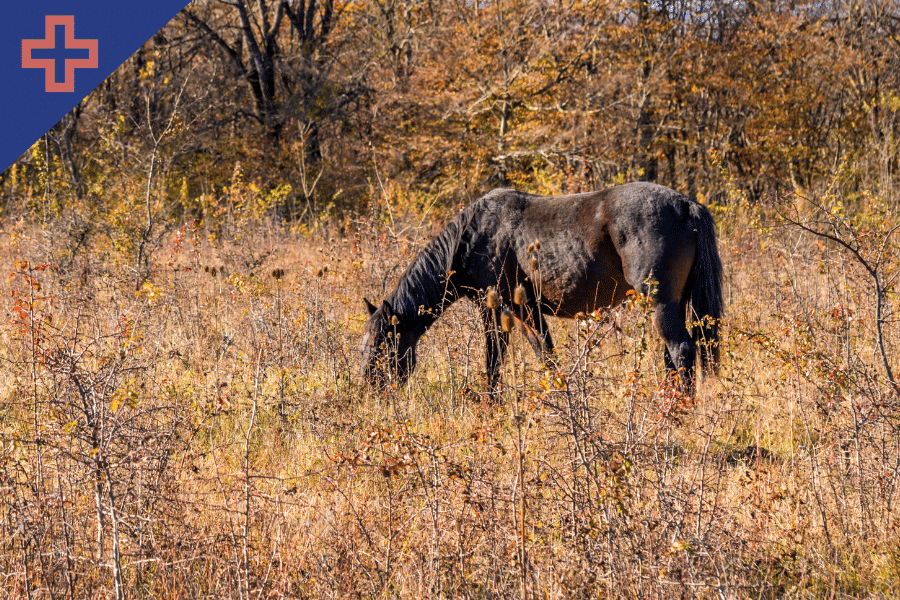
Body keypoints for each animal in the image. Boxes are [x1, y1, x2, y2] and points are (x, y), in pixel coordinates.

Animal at [360, 182, 723, 394]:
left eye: (380, 346)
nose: (369, 391)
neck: (473, 236)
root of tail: (686, 205)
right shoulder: (520, 312)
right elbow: (536, 357)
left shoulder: (510, 310)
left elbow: (509, 359)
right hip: (671, 304)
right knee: (673, 357)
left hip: (660, 303)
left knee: (682, 350)